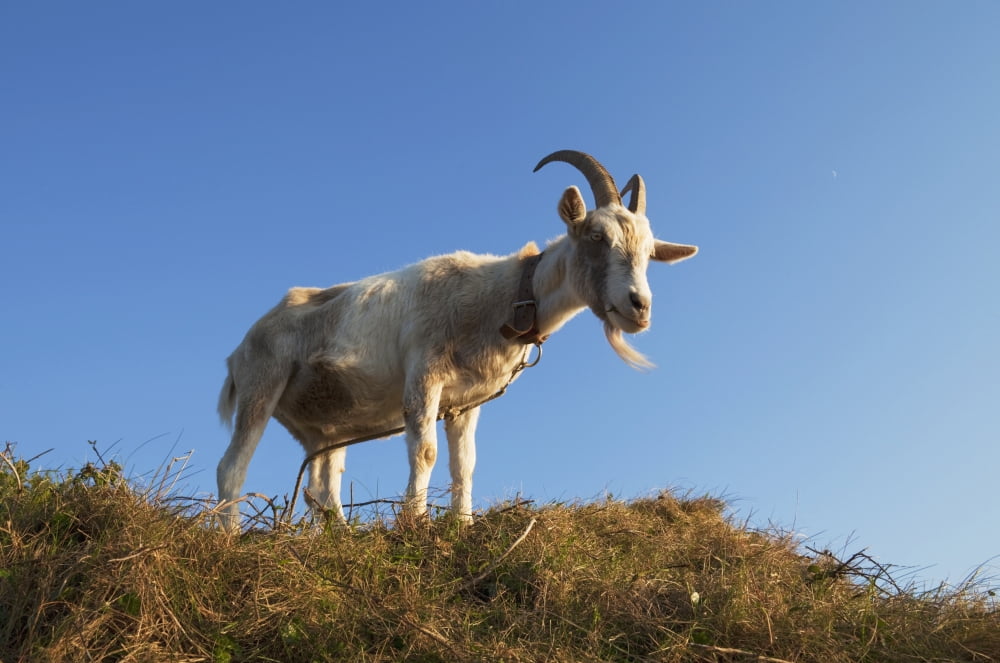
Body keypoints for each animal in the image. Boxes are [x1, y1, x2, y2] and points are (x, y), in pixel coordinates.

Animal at [216, 150, 697, 531]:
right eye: (597, 236)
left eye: (649, 252)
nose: (639, 306)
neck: (505, 294)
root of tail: (238, 351)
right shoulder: (424, 374)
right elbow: (426, 451)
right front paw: (416, 522)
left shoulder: (466, 402)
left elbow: (464, 464)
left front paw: (462, 525)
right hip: (262, 383)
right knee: (231, 467)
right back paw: (228, 536)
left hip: (325, 425)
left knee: (321, 486)